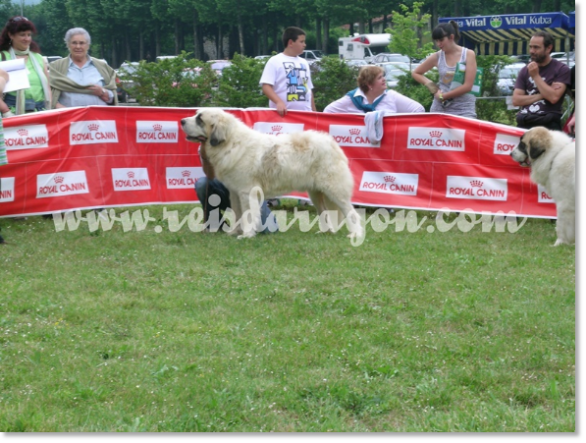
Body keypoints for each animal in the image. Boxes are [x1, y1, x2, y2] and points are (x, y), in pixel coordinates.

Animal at [180, 108, 362, 239]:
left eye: (200, 119)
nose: (181, 121)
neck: (230, 142)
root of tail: (333, 144)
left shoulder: (247, 191)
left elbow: (247, 214)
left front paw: (247, 235)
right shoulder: (234, 192)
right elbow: (238, 213)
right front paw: (234, 233)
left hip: (334, 190)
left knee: (351, 213)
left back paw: (355, 234)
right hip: (316, 193)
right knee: (324, 212)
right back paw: (325, 232)